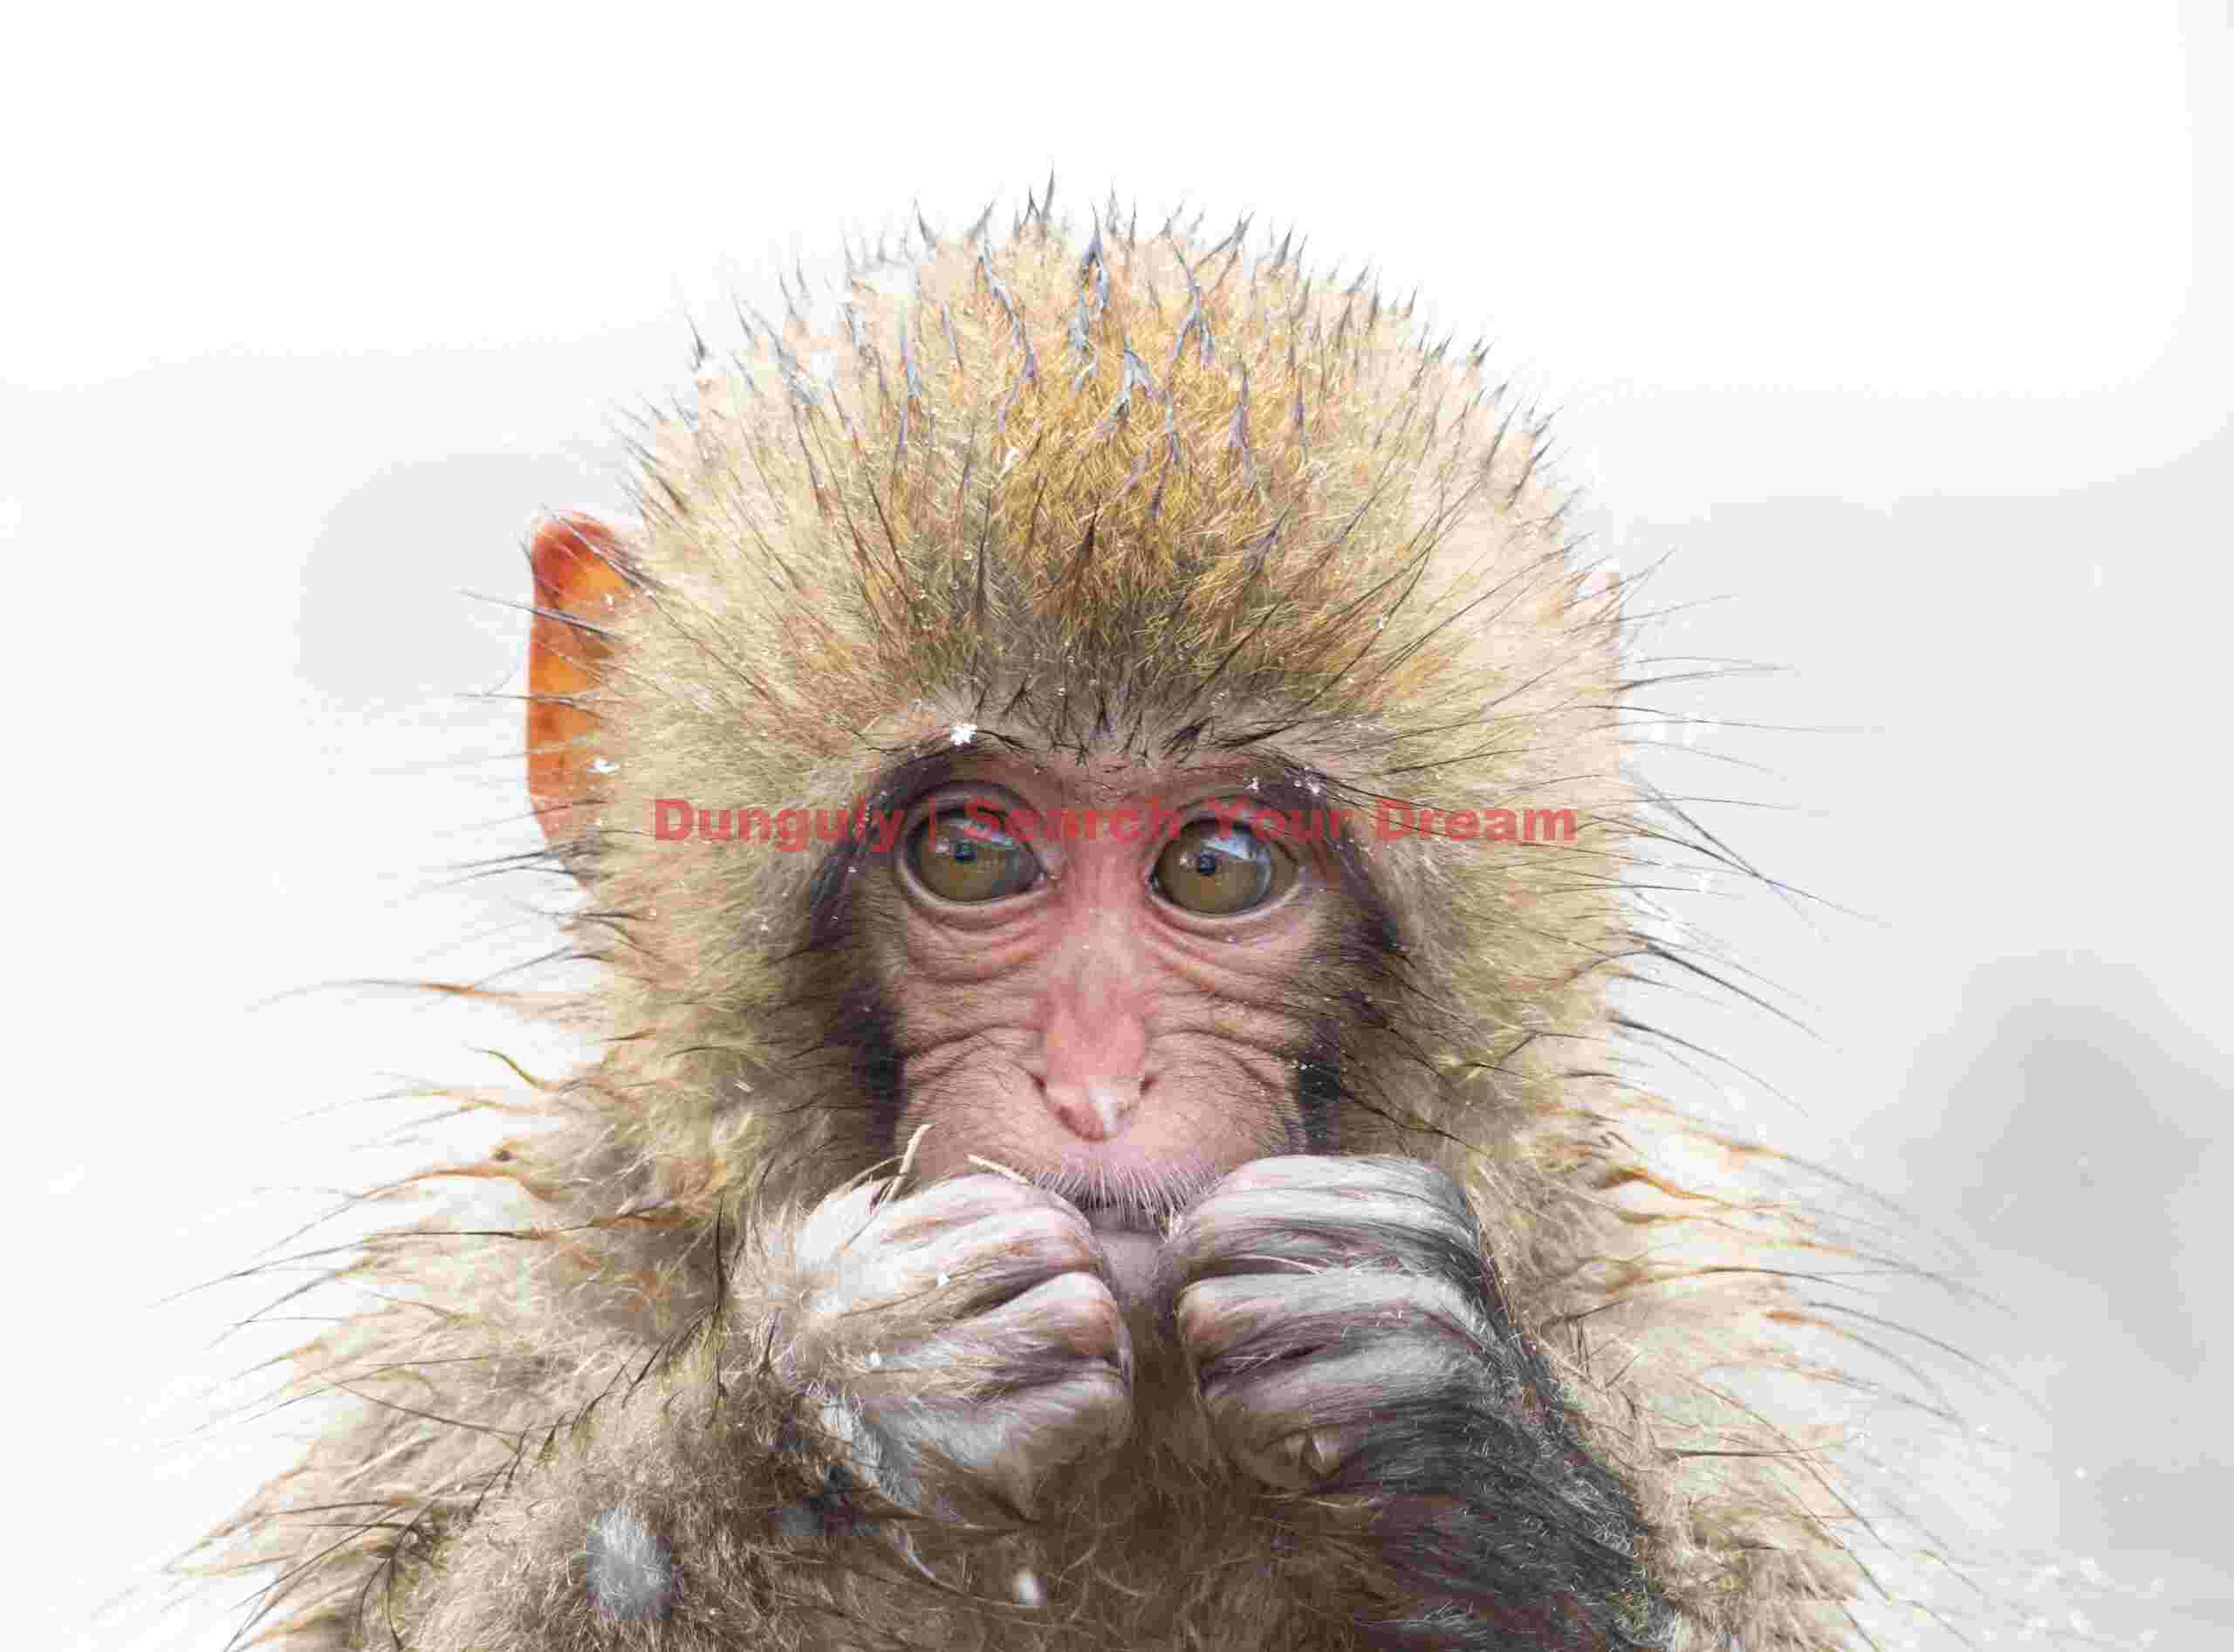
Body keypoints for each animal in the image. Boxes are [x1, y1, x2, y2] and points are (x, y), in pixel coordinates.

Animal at [199, 187, 1948, 1651]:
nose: (1096, 1086)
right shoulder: (531, 1278)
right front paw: (843, 1388)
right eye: (971, 853)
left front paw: (1457, 1431)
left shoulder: (1673, 1347)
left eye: (1219, 864)